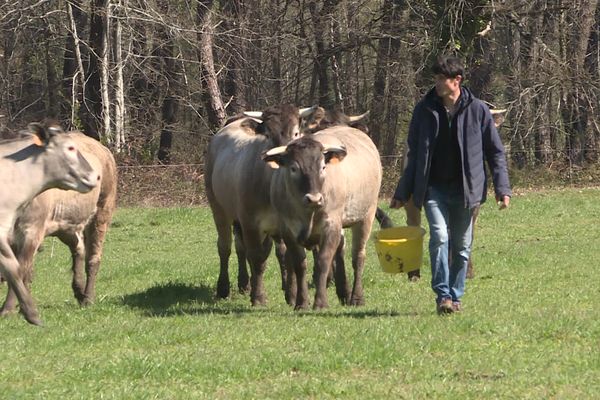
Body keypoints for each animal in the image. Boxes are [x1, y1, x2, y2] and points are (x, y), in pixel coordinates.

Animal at [0, 131, 117, 316]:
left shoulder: (32, 230)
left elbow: (21, 268)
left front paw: (8, 308)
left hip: (102, 210)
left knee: (93, 257)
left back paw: (88, 297)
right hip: (66, 225)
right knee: (78, 248)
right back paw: (79, 290)